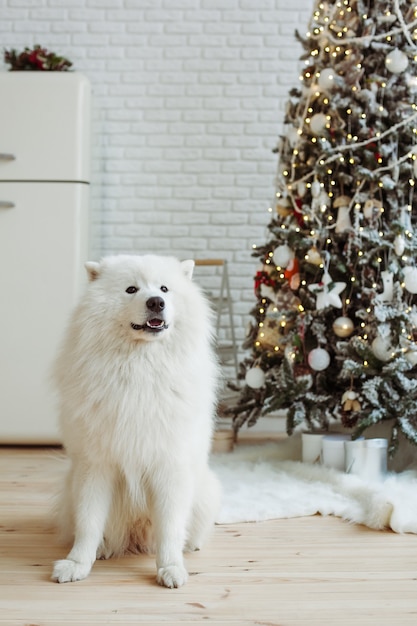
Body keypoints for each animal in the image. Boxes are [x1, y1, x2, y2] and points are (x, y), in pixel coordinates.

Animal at [51, 254, 221, 584]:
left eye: (164, 288)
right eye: (131, 289)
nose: (156, 302)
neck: (140, 366)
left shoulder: (169, 466)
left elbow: (170, 527)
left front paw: (170, 568)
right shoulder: (95, 465)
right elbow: (88, 523)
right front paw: (77, 564)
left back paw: (189, 545)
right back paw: (104, 549)